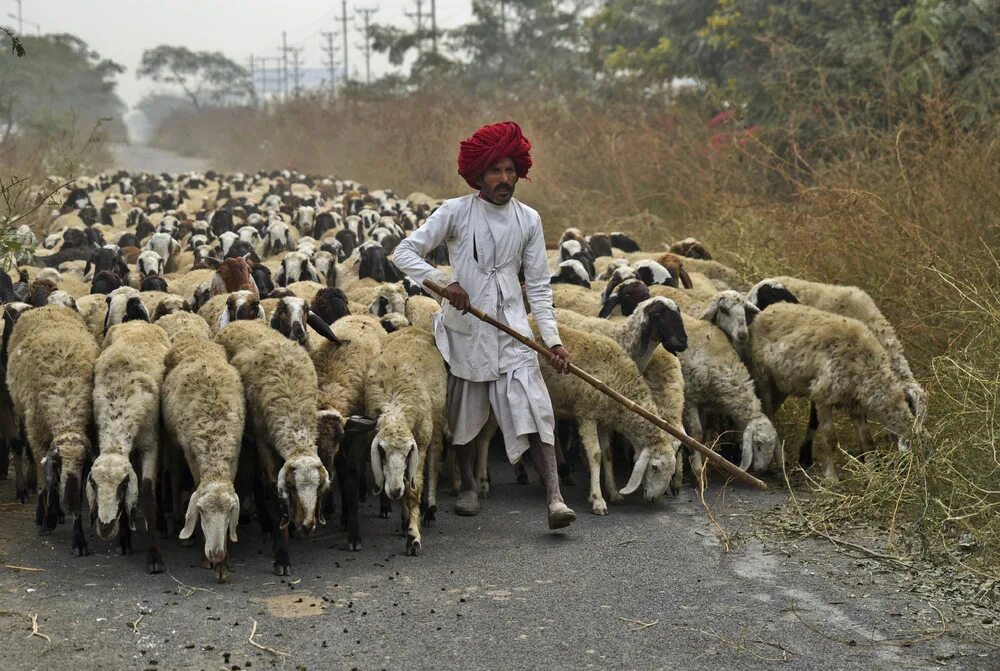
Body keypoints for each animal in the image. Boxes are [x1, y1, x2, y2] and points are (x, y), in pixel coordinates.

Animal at [6, 304, 99, 556]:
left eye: (84, 466)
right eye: (59, 462)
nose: (69, 500)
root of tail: (48, 306)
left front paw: (78, 537)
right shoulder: (38, 438)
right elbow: (44, 483)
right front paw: (44, 517)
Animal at [163, 334, 245, 580]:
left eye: (230, 513)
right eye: (200, 512)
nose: (216, 554)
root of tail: (196, 341)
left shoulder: (234, 456)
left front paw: (223, 565)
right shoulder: (191, 454)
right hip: (172, 442)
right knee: (175, 478)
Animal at [216, 322, 332, 576]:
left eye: (318, 488)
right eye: (292, 487)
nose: (307, 526)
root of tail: (239, 322)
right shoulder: (262, 441)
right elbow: (271, 490)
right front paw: (282, 556)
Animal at [366, 326, 448, 556]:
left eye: (407, 453)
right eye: (381, 452)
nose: (393, 491)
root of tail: (413, 327)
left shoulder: (419, 443)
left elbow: (413, 489)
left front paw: (413, 537)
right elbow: (403, 483)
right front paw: (404, 521)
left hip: (437, 420)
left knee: (435, 461)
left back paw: (430, 510)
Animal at [752, 304, 920, 484]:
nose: (911, 473)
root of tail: (768, 309)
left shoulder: (855, 405)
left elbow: (867, 440)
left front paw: (871, 474)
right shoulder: (823, 397)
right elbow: (830, 439)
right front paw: (831, 478)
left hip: (780, 384)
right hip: (762, 377)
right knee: (769, 415)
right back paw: (778, 462)